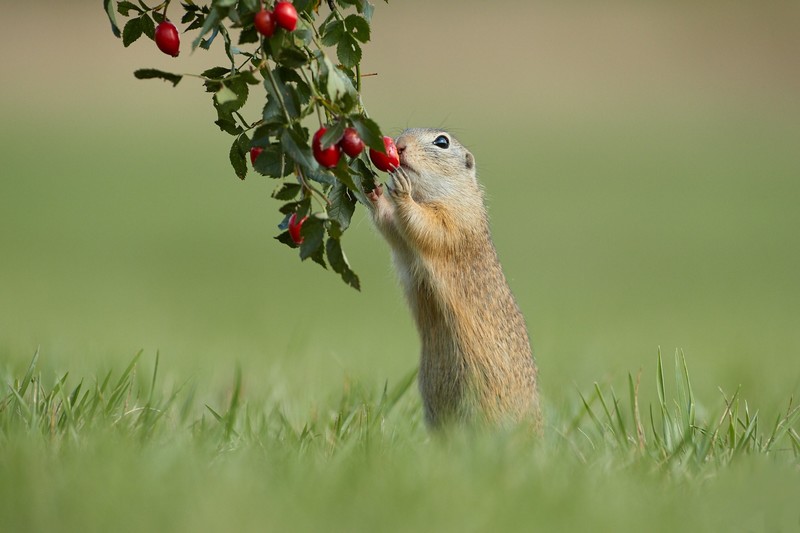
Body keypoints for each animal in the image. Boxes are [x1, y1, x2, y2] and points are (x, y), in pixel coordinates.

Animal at [367, 128, 541, 430]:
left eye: (442, 142)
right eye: (402, 134)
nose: (399, 146)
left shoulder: (457, 220)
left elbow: (427, 226)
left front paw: (401, 191)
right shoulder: (403, 241)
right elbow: (392, 227)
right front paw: (375, 192)